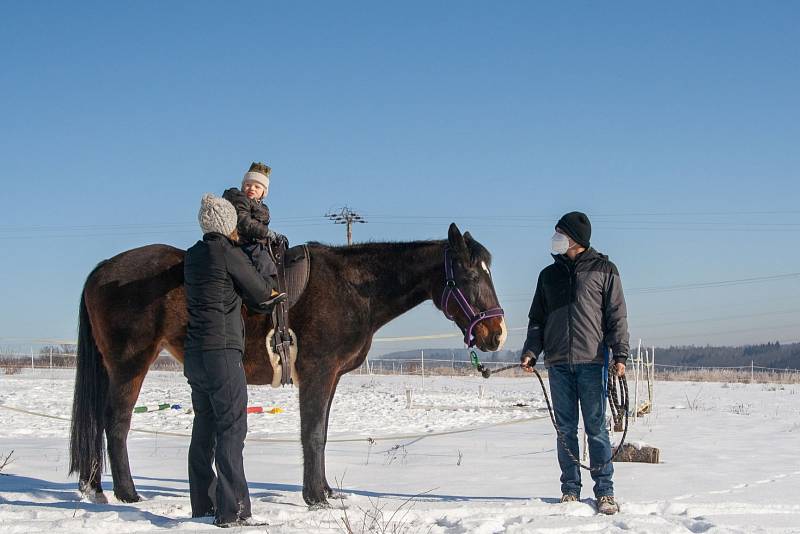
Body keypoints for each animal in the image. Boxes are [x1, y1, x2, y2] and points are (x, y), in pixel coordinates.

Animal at [69, 224, 506, 508]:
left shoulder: (329, 379)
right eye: (469, 275)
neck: (353, 288)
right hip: (130, 364)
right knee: (116, 423)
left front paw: (326, 490)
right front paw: (315, 498)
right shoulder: (318, 373)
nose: (497, 334)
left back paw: (98, 488)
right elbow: (311, 435)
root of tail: (103, 268)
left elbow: (321, 434)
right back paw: (127, 494)